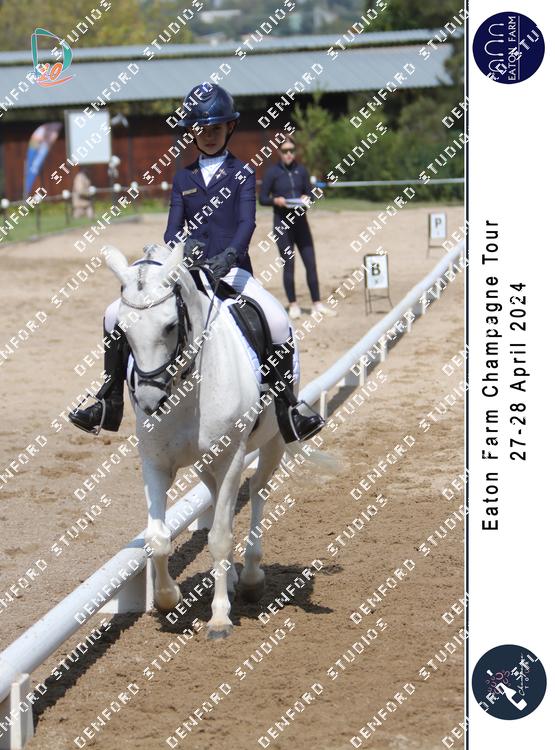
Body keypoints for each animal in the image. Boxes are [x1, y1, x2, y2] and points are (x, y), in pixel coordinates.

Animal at [103, 240, 309, 639]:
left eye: (170, 326)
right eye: (121, 331)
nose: (149, 401)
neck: (186, 389)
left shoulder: (231, 457)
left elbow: (219, 538)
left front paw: (218, 618)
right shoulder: (155, 463)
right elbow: (158, 538)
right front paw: (168, 598)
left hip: (272, 443)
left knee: (257, 491)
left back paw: (250, 578)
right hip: (204, 462)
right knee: (217, 501)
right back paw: (230, 580)